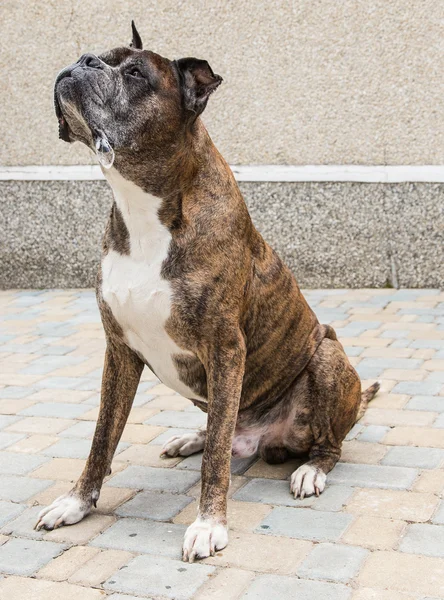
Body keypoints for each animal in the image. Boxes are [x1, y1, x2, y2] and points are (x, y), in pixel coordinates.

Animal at [36, 23, 380, 564]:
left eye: (135, 73)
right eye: (95, 55)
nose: (84, 60)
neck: (143, 204)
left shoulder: (225, 348)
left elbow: (216, 455)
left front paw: (208, 524)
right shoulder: (119, 350)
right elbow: (101, 438)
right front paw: (76, 502)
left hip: (327, 357)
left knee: (321, 444)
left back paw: (310, 470)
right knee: (222, 425)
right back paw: (190, 437)